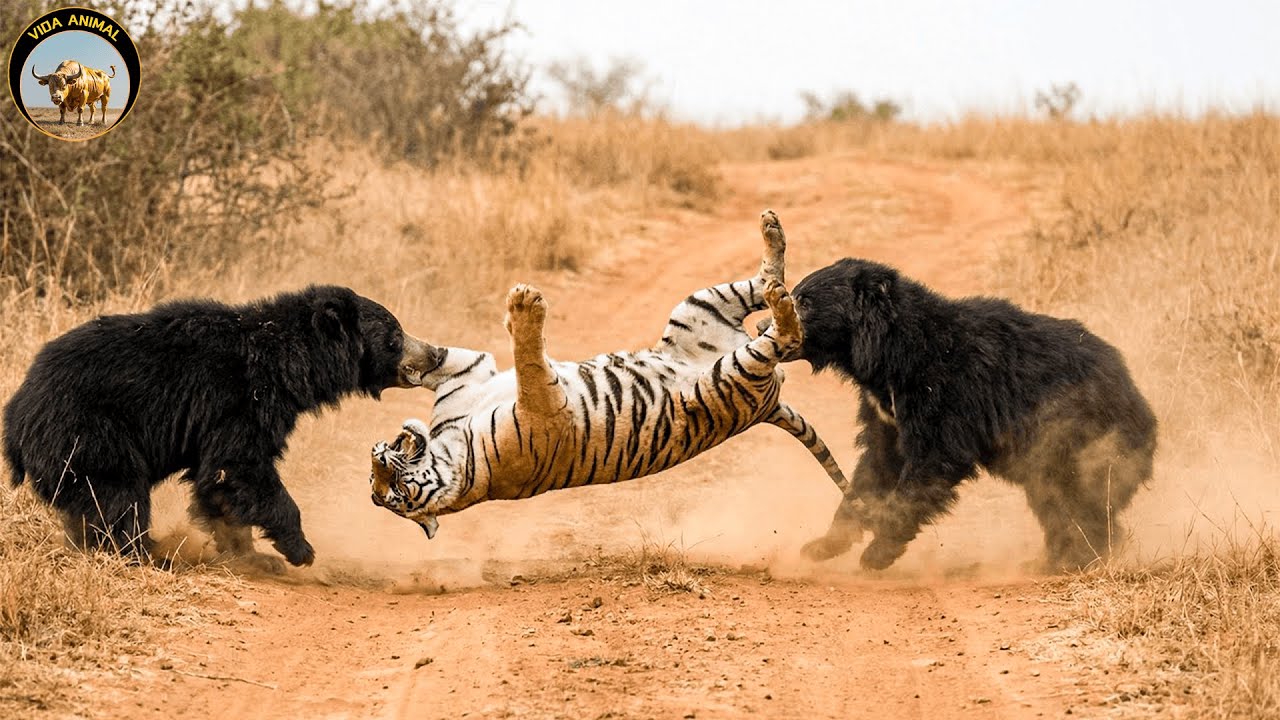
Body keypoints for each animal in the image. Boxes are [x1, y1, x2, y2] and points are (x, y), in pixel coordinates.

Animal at [3, 285, 443, 572]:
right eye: (395, 336)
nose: (436, 353)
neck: (288, 365)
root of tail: (17, 416)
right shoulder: (239, 401)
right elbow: (239, 467)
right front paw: (299, 550)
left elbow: (217, 483)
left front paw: (250, 553)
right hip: (91, 433)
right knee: (117, 495)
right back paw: (147, 555)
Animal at [369, 210, 857, 540]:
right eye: (393, 493)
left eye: (386, 481)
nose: (379, 456)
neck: (451, 444)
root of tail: (769, 403)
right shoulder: (545, 406)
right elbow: (529, 361)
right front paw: (525, 307)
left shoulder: (470, 369)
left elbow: (437, 357)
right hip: (731, 371)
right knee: (784, 337)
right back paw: (783, 304)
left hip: (697, 305)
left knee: (766, 280)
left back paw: (772, 232)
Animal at [787, 258, 1157, 571]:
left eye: (804, 302)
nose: (772, 326)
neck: (888, 357)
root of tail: (1142, 407)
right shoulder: (884, 412)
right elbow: (877, 463)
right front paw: (821, 546)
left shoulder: (943, 393)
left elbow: (933, 460)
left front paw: (877, 553)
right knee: (1056, 503)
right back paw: (1051, 559)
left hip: (1084, 441)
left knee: (1082, 502)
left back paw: (1076, 558)